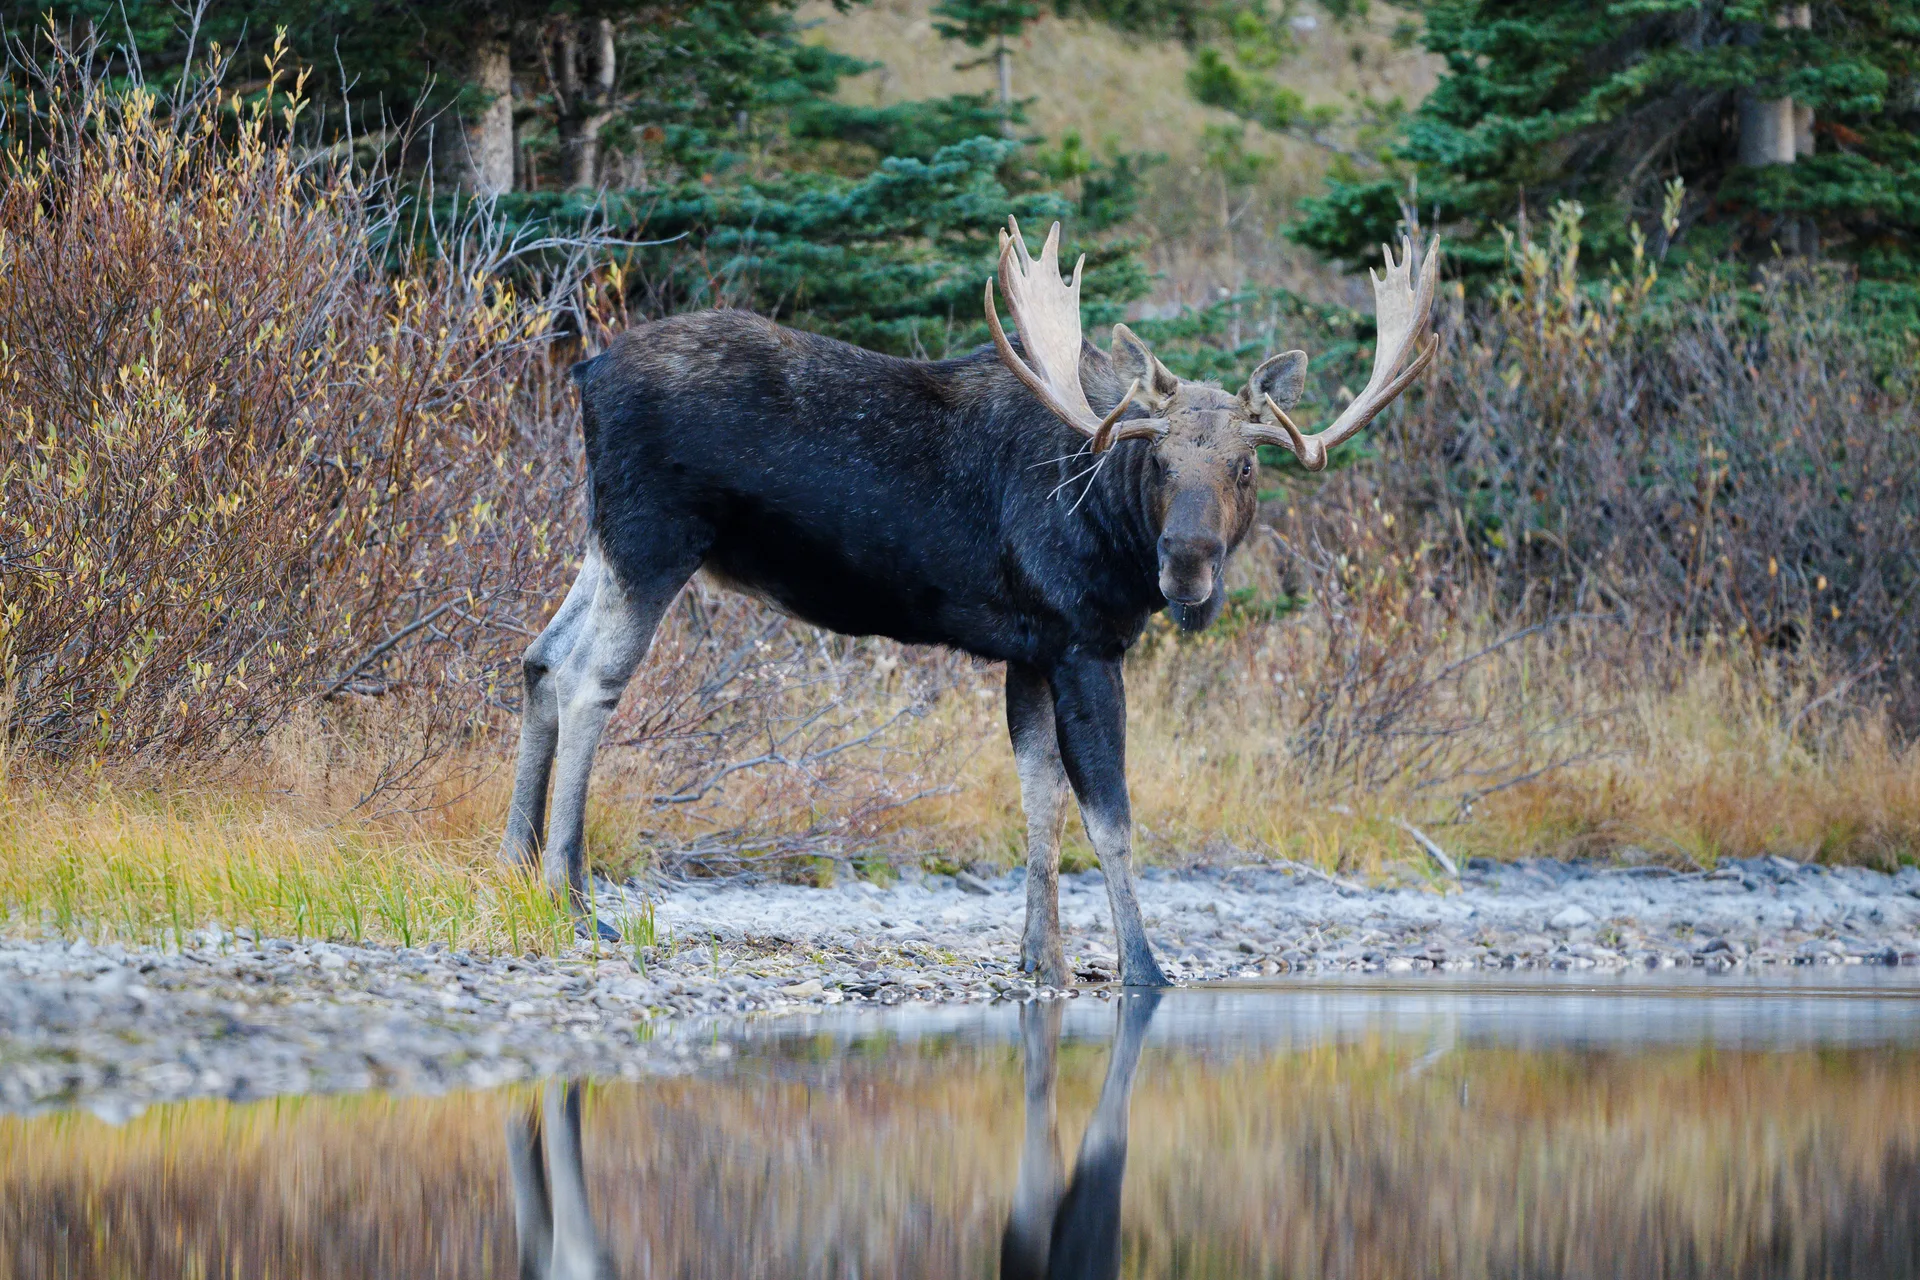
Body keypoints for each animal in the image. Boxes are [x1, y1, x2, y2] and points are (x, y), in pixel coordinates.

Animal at [500, 217, 1440, 987]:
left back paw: (515, 866)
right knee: (588, 679)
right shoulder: (1084, 645)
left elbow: (1039, 800)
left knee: (540, 655)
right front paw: (1142, 966)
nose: (1188, 567)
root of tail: (585, 371)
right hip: (655, 534)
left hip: (605, 537)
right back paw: (572, 898)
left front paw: (1042, 959)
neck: (1109, 514)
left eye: (1245, 466)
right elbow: (1111, 816)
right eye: (1160, 460)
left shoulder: (1030, 651)